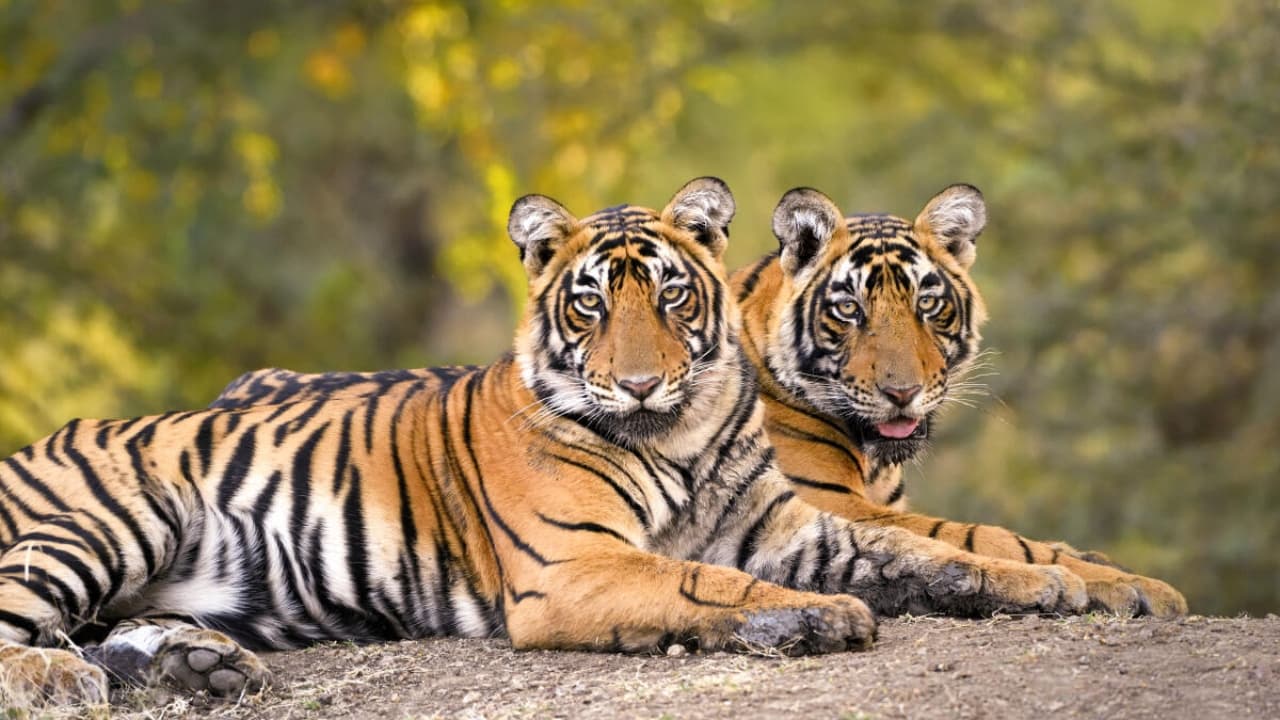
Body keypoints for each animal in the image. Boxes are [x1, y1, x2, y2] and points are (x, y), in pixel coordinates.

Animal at [731, 183, 1188, 617]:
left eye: (928, 303)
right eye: (848, 308)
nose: (902, 392)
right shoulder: (823, 501)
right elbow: (985, 537)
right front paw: (1132, 585)